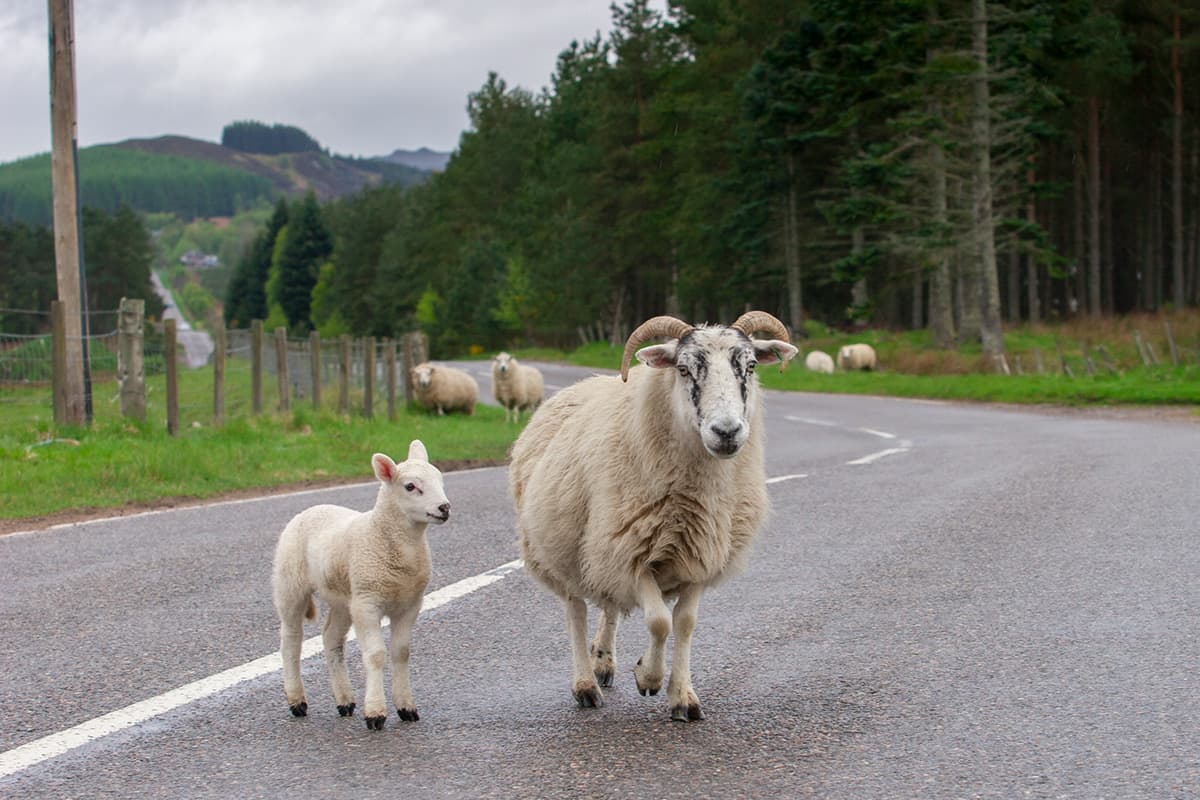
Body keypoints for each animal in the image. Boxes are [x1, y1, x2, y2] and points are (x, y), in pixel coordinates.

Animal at [271, 441, 451, 729]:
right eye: (410, 486)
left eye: (440, 480)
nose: (444, 508)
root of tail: (312, 508)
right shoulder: (368, 602)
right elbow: (376, 654)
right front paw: (376, 713)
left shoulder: (410, 603)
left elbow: (401, 652)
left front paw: (406, 708)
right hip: (290, 583)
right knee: (290, 639)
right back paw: (297, 701)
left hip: (344, 598)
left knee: (331, 638)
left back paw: (345, 701)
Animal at [508, 309, 796, 724]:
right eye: (683, 369)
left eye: (751, 365)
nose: (726, 432)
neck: (697, 498)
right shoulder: (633, 557)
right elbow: (659, 621)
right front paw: (648, 677)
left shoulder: (698, 558)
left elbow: (684, 624)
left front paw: (683, 697)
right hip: (564, 549)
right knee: (576, 611)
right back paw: (586, 684)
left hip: (601, 551)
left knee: (609, 604)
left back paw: (603, 661)